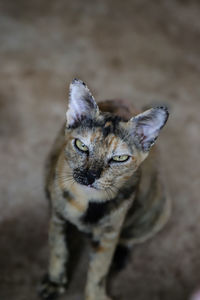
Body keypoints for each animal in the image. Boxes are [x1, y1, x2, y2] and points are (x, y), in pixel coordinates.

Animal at [39, 79, 170, 300]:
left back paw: (120, 255)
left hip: (159, 208)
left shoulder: (109, 235)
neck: (87, 200)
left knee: (128, 237)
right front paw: (55, 282)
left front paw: (96, 295)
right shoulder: (57, 216)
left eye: (120, 158)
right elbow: (57, 248)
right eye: (81, 145)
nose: (90, 176)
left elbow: (99, 269)